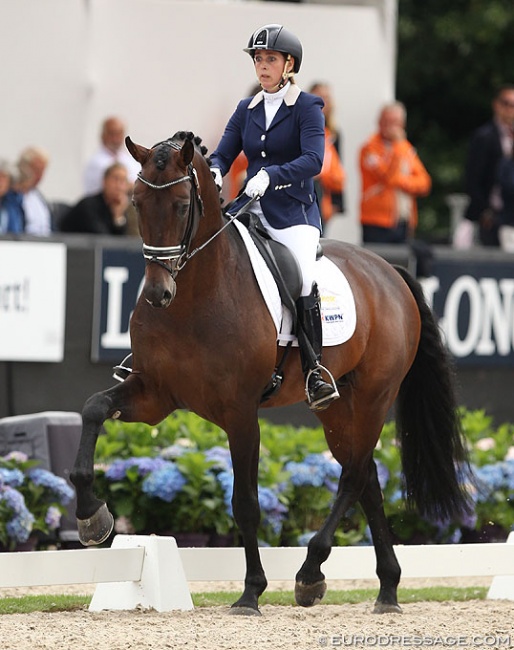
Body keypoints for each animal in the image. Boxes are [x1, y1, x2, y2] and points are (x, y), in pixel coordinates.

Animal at [70, 130, 470, 612]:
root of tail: (388, 271)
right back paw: (387, 588)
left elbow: (245, 502)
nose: (157, 294)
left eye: (183, 206)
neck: (195, 296)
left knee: (354, 474)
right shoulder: (154, 395)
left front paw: (251, 592)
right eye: (136, 202)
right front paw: (93, 518)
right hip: (337, 408)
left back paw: (311, 572)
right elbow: (94, 408)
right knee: (367, 476)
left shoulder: (241, 412)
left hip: (375, 394)